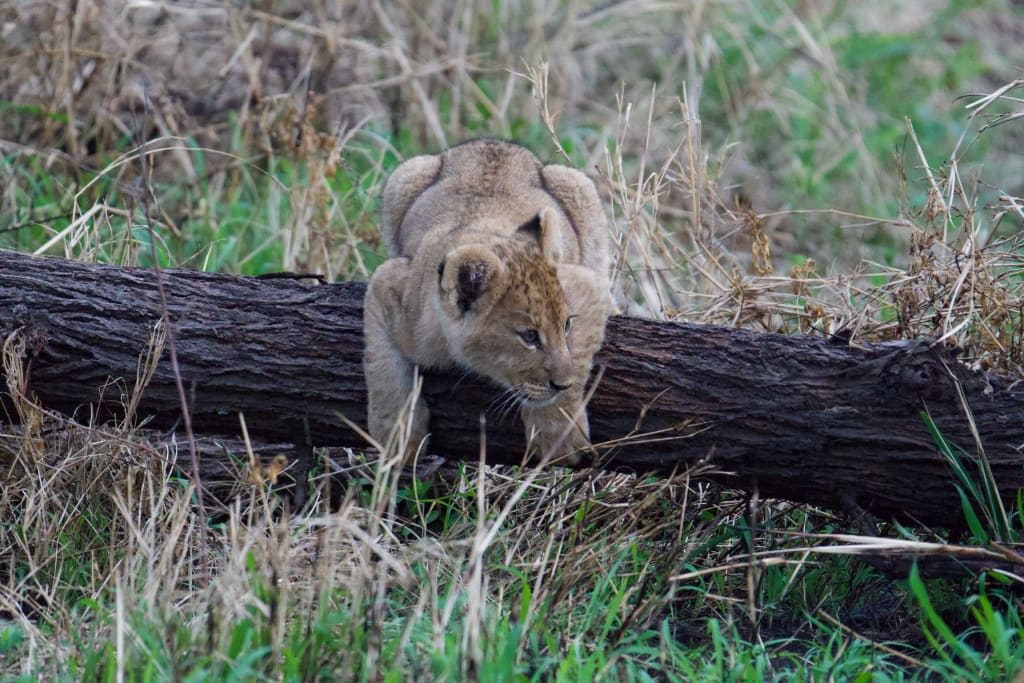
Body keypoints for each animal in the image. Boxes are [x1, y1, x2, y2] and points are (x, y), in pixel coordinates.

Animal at [363, 140, 613, 463]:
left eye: (567, 325)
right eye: (529, 336)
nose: (561, 384)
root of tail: (493, 142)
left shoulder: (585, 283)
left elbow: (576, 356)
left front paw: (559, 436)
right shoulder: (388, 282)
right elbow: (383, 367)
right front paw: (395, 438)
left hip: (579, 188)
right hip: (403, 179)